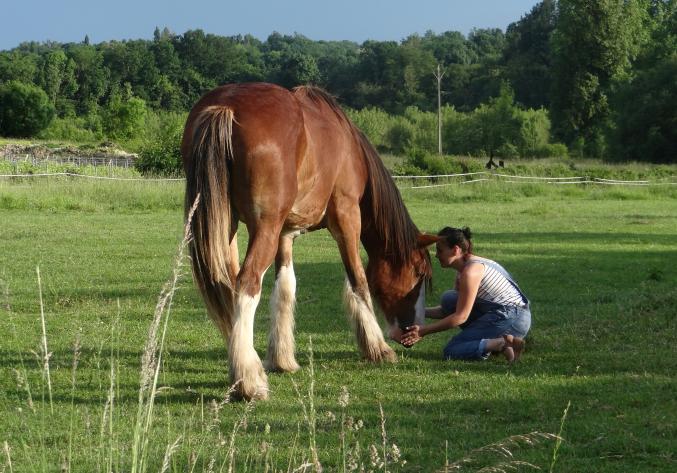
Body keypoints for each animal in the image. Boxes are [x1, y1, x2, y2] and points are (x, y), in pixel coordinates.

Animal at [181, 82, 435, 400]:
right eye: (419, 273)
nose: (414, 331)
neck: (348, 145)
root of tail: (226, 106)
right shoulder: (347, 218)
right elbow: (358, 281)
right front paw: (377, 348)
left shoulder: (284, 234)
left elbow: (285, 288)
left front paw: (282, 359)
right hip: (262, 228)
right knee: (246, 284)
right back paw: (249, 381)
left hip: (227, 227)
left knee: (225, 285)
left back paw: (241, 369)